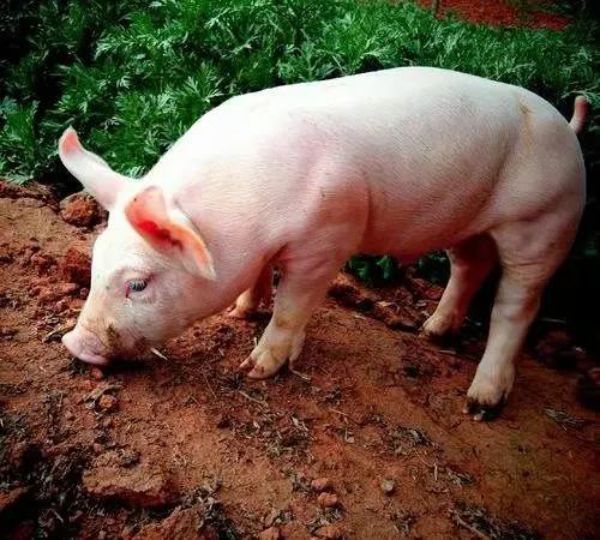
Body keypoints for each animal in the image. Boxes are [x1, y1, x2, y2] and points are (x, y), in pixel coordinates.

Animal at [57, 67, 584, 420]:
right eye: (94, 263)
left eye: (138, 284)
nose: (75, 344)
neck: (241, 218)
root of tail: (567, 127)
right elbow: (259, 278)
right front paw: (242, 312)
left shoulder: (327, 240)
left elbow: (293, 306)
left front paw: (255, 369)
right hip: (467, 224)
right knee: (469, 266)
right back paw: (430, 334)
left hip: (541, 222)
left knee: (516, 305)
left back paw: (480, 402)